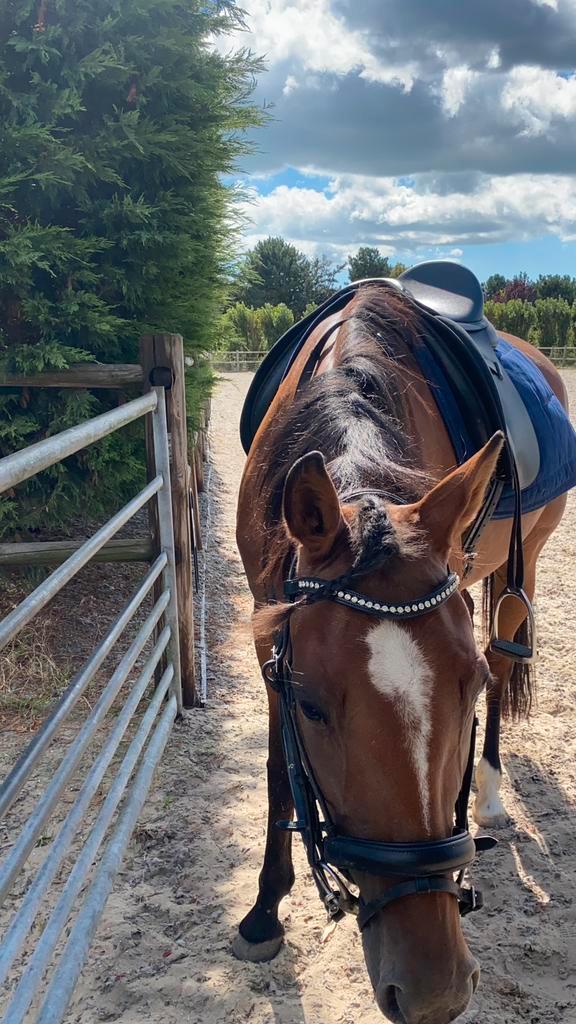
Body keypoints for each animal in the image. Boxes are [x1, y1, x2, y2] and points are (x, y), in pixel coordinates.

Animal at [234, 278, 569, 1024]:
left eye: (467, 690)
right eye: (310, 705)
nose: (435, 992)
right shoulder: (266, 625)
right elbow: (277, 771)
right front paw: (264, 912)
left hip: (525, 555)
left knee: (509, 655)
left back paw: (491, 798)